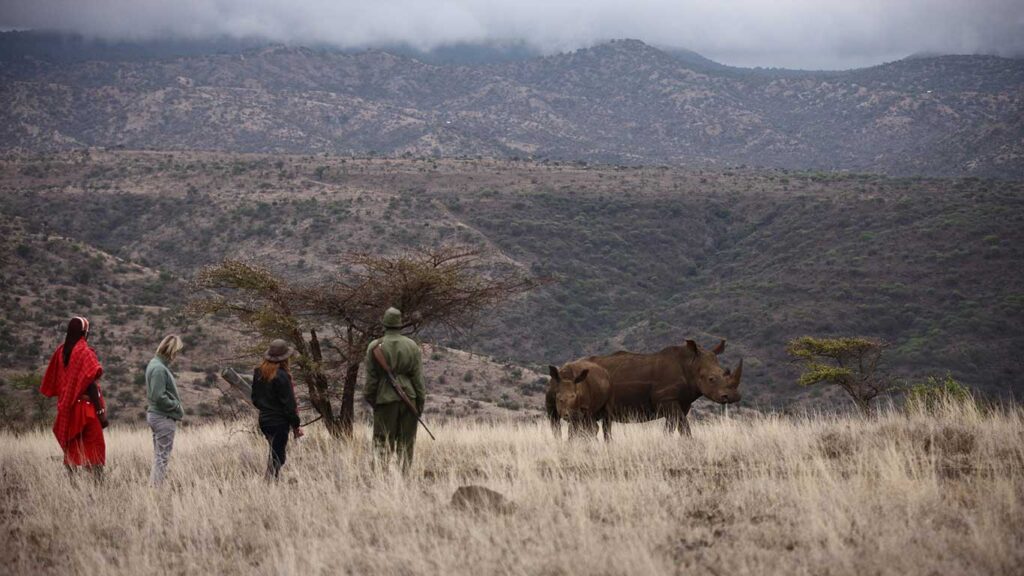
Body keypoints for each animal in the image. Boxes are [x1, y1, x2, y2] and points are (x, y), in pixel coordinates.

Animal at [584, 339, 742, 435]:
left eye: (725, 372)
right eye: (711, 379)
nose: (733, 397)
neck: (690, 365)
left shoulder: (682, 402)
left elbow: (672, 427)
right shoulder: (667, 399)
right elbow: (684, 426)